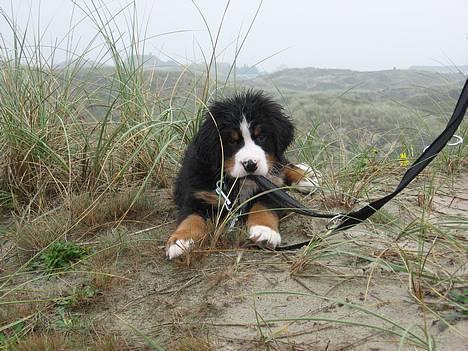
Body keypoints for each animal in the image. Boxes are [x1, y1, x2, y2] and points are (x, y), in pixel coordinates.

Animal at [165, 90, 318, 262]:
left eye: (261, 137)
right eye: (232, 141)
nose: (250, 164)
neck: (241, 182)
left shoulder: (272, 190)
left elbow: (263, 206)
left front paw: (264, 231)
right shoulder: (198, 195)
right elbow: (191, 219)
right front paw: (181, 241)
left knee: (283, 164)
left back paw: (306, 177)